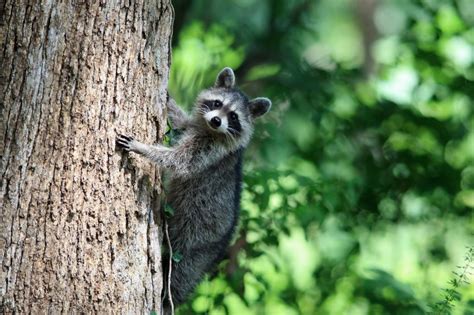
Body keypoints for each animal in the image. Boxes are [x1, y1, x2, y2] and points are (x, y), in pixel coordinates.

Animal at [115, 68, 270, 312]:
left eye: (233, 117)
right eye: (217, 103)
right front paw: (169, 102)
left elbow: (179, 161)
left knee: (179, 274)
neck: (210, 130)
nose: (216, 120)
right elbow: (181, 124)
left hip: (196, 243)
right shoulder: (196, 128)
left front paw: (142, 148)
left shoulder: (210, 150)